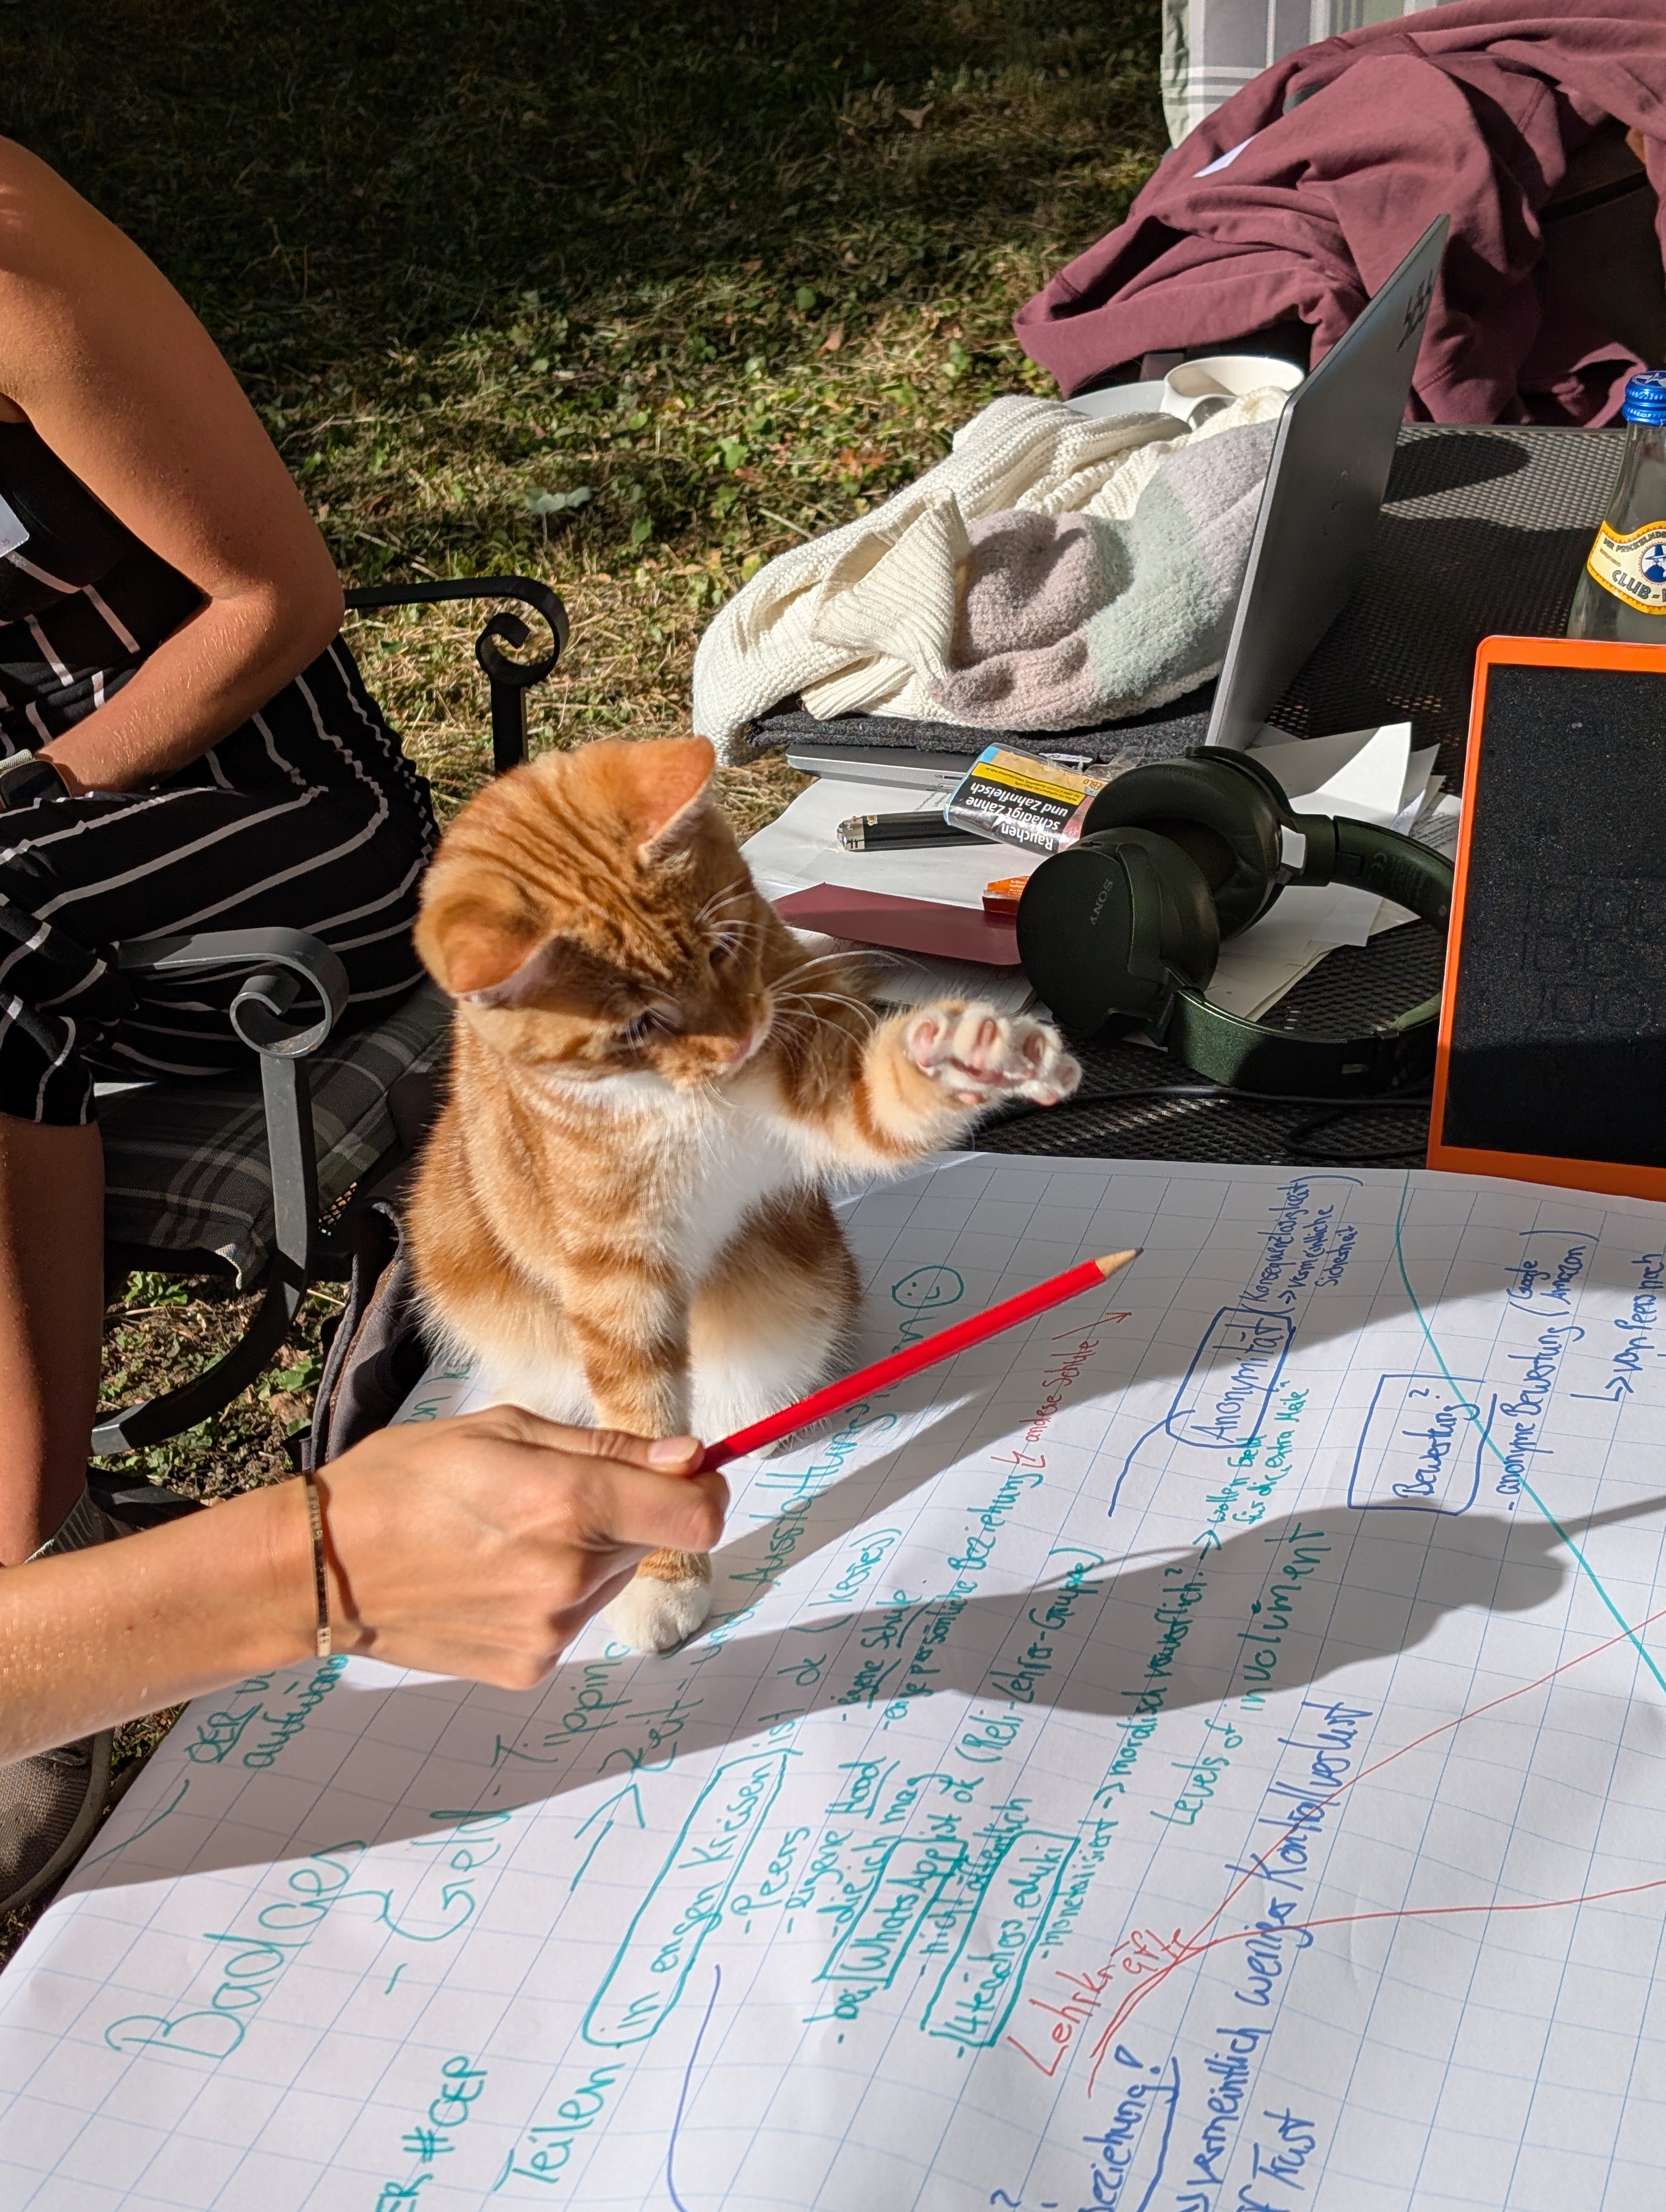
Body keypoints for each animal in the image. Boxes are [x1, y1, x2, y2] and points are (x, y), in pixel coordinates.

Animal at [406, 734, 1081, 1654]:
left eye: (723, 948)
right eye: (637, 1026)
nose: (738, 1042)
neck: (680, 1102)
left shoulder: (817, 1066)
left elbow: (884, 1100)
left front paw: (972, 1051)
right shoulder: (612, 1273)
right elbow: (639, 1416)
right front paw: (661, 1573)